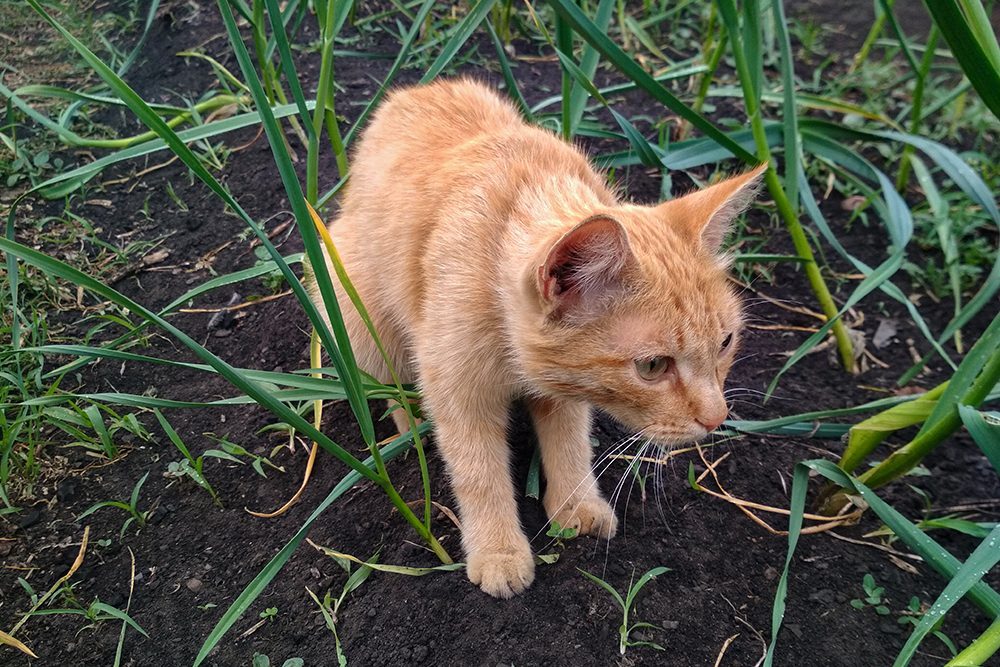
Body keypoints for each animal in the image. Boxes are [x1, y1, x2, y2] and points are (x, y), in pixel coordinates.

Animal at [308, 78, 760, 600]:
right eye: (652, 367)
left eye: (726, 343)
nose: (717, 418)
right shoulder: (457, 389)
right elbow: (479, 471)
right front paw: (498, 549)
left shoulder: (564, 387)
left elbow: (569, 441)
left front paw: (576, 504)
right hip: (353, 306)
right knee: (389, 386)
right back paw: (413, 420)